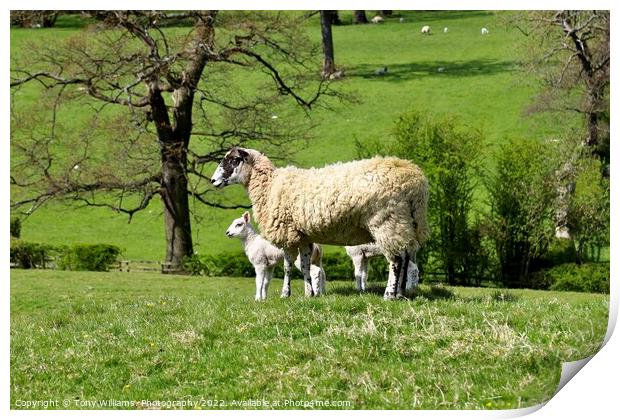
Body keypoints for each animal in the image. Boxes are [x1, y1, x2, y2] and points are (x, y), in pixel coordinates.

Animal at [211, 148, 428, 298]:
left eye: (233, 160)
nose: (213, 181)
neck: (269, 186)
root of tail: (415, 181)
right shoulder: (304, 236)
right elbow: (306, 266)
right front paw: (310, 294)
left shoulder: (287, 233)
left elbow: (288, 267)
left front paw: (285, 294)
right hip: (406, 223)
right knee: (406, 258)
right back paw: (401, 293)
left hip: (386, 221)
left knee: (396, 260)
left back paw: (389, 295)